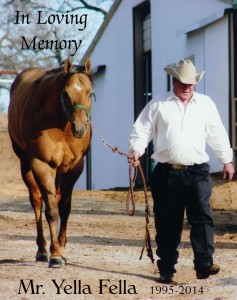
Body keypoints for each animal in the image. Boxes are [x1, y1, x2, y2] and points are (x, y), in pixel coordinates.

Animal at [8, 58, 93, 268]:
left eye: (90, 93)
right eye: (66, 93)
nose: (80, 128)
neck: (61, 126)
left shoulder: (74, 168)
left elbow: (64, 209)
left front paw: (62, 250)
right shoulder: (42, 165)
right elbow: (52, 211)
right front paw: (55, 255)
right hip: (26, 165)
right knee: (37, 202)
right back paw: (42, 250)